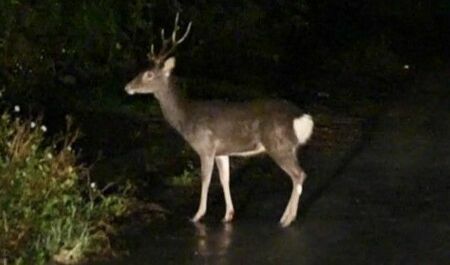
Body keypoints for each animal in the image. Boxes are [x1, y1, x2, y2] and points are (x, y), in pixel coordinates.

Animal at [123, 13, 312, 226]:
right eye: (141, 70)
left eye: (148, 74)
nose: (127, 87)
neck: (187, 117)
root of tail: (302, 118)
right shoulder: (222, 151)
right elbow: (224, 179)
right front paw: (228, 214)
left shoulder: (205, 146)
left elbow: (205, 179)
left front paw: (197, 215)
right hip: (289, 147)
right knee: (298, 175)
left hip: (279, 145)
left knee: (299, 175)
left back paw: (286, 218)